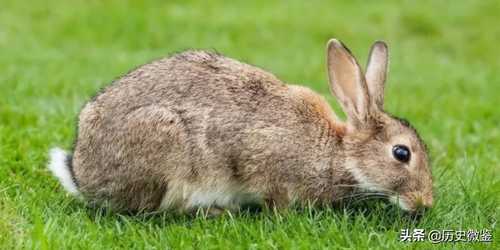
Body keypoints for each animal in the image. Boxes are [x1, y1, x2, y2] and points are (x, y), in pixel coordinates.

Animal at [47, 39, 434, 215]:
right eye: (402, 153)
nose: (425, 203)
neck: (338, 152)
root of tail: (82, 174)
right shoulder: (265, 162)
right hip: (165, 146)